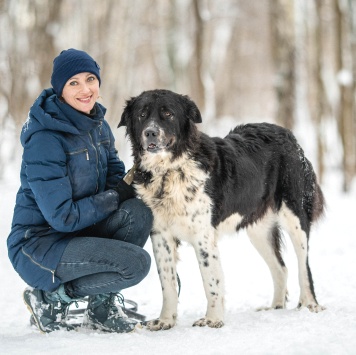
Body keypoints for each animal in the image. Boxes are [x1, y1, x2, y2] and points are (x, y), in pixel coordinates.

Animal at [117, 88, 326, 330]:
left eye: (168, 114)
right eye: (142, 115)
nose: (150, 132)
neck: (168, 172)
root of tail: (289, 136)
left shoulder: (203, 237)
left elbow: (211, 280)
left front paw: (213, 319)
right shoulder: (161, 236)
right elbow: (167, 283)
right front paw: (165, 321)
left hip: (295, 218)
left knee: (304, 267)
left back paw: (310, 304)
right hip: (258, 231)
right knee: (281, 268)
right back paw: (275, 307)